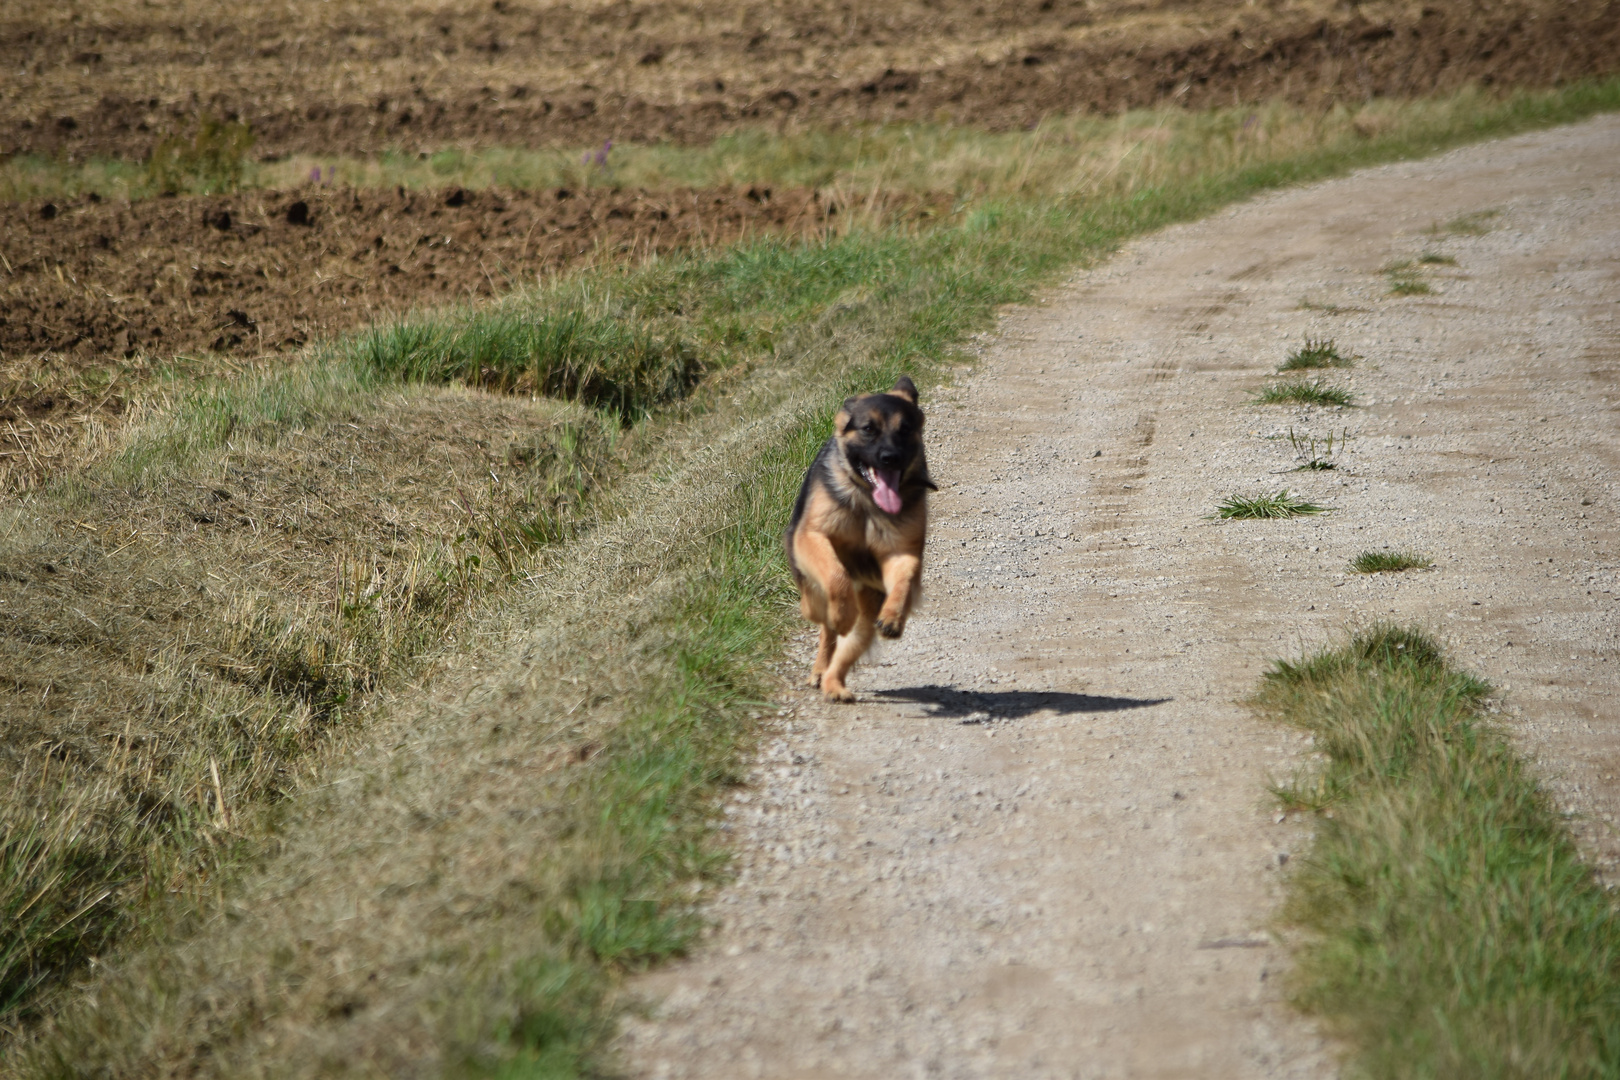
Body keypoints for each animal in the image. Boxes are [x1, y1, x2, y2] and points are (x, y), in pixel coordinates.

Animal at [784, 375, 939, 705]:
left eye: (905, 429)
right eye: (869, 429)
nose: (890, 458)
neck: (867, 500)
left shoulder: (901, 552)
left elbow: (904, 579)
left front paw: (893, 617)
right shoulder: (813, 536)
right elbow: (836, 575)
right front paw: (841, 613)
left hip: (865, 624)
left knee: (843, 652)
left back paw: (834, 685)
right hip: (813, 593)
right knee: (824, 623)